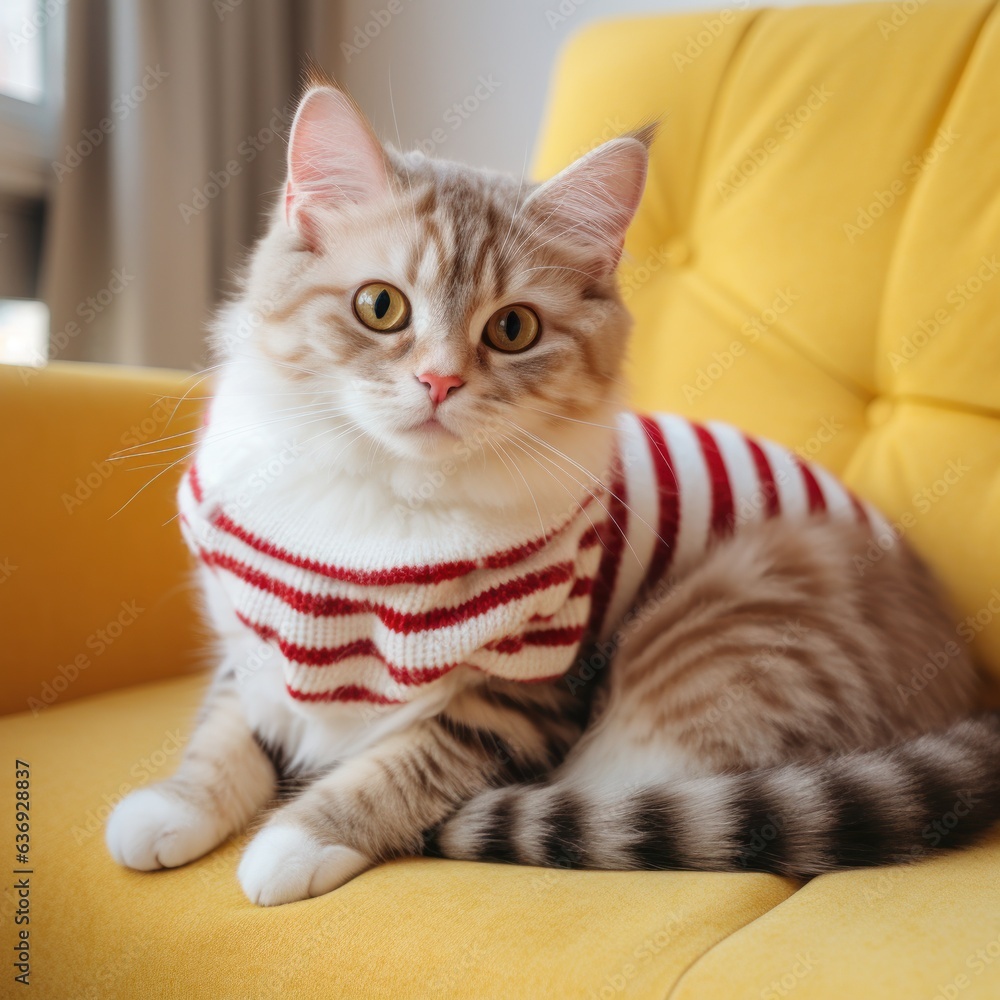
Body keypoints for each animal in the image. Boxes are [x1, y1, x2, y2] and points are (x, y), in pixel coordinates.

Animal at [103, 80, 1000, 908]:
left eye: (513, 329)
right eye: (380, 307)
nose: (439, 382)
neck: (384, 501)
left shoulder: (520, 691)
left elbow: (404, 766)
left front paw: (302, 838)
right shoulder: (259, 634)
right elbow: (224, 733)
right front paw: (173, 810)